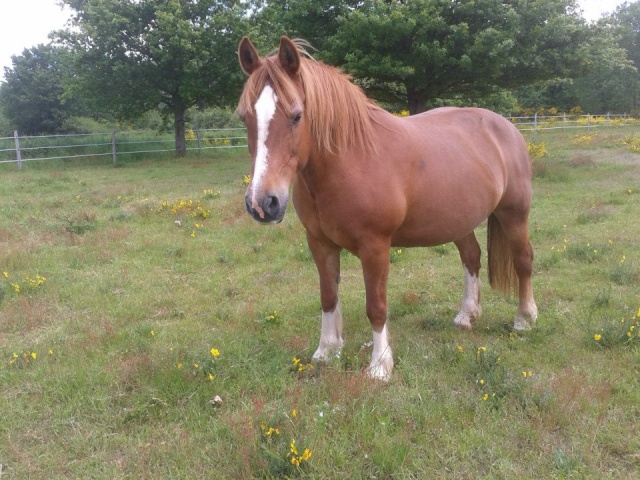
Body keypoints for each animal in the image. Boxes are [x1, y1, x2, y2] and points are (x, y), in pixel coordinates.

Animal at [238, 35, 536, 380]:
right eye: (244, 117)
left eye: (297, 115)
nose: (263, 203)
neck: (351, 159)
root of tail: (505, 126)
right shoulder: (320, 243)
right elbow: (328, 297)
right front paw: (326, 352)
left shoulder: (376, 247)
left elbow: (376, 306)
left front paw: (380, 366)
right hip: (459, 220)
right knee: (471, 257)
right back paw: (467, 315)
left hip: (514, 214)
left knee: (523, 260)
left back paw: (525, 319)